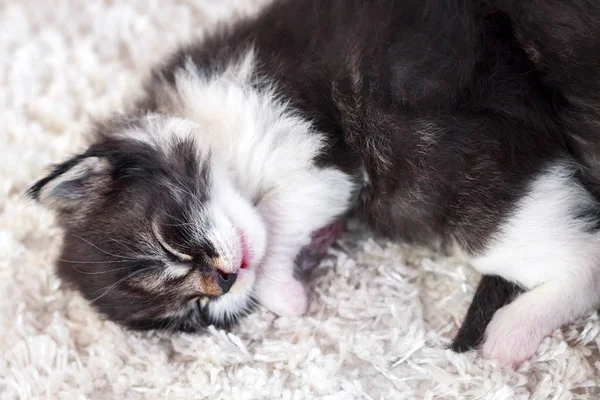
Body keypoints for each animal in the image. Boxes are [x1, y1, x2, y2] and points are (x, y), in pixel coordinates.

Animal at [30, 0, 600, 366]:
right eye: (195, 314)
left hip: (463, 184)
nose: (224, 282)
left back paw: (511, 332)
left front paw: (283, 286)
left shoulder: (314, 148)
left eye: (170, 245)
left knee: (584, 261)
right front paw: (294, 275)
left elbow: (278, 215)